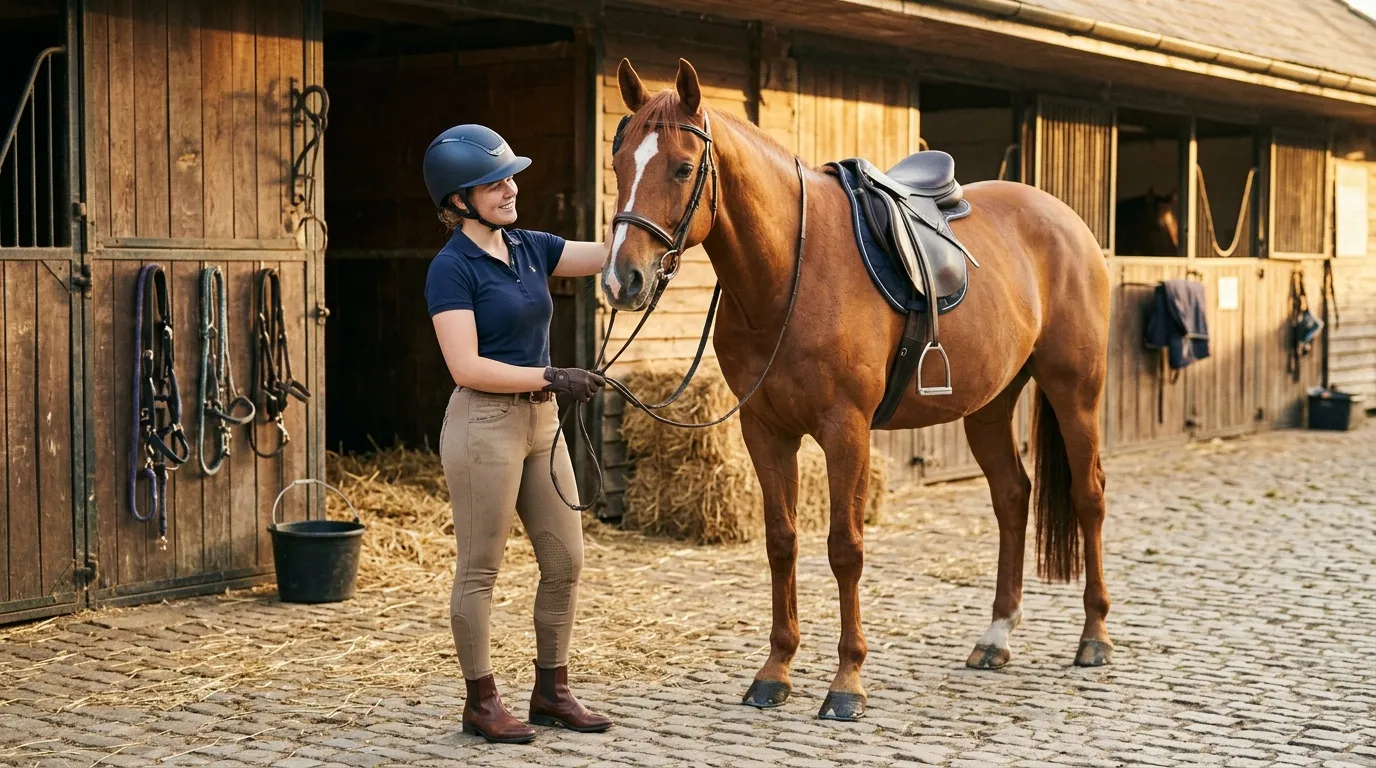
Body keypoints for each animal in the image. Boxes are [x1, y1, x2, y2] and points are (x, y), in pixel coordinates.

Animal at [602, 58, 1112, 722]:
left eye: (683, 167)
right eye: (618, 163)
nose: (622, 279)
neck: (790, 271)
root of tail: (1066, 219)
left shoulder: (846, 430)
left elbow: (845, 548)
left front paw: (846, 682)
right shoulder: (764, 430)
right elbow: (782, 542)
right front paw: (775, 671)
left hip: (1076, 392)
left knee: (1088, 496)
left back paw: (1094, 637)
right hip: (988, 407)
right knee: (1011, 497)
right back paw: (995, 637)